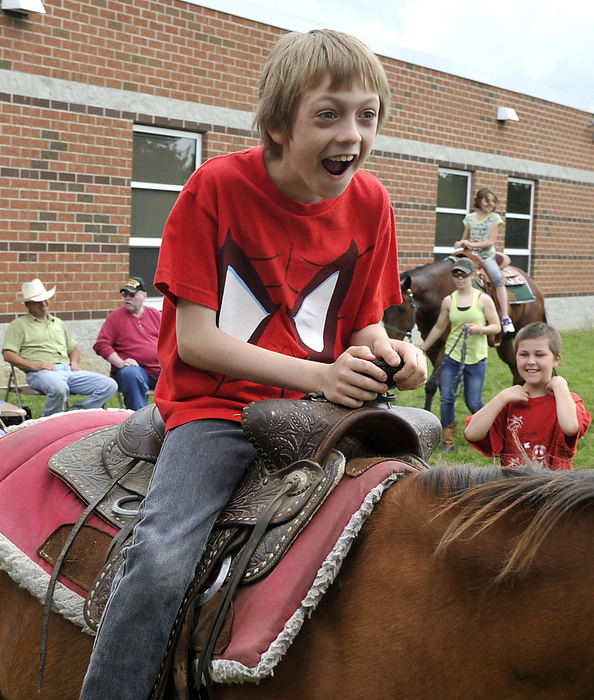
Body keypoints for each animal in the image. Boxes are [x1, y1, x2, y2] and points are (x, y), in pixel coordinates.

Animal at [382, 256, 544, 410]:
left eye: (402, 309)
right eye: (383, 311)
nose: (389, 341)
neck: (437, 294)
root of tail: (534, 286)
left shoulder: (446, 347)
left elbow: (431, 385)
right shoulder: (433, 347)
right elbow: (442, 385)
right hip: (504, 343)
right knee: (516, 371)